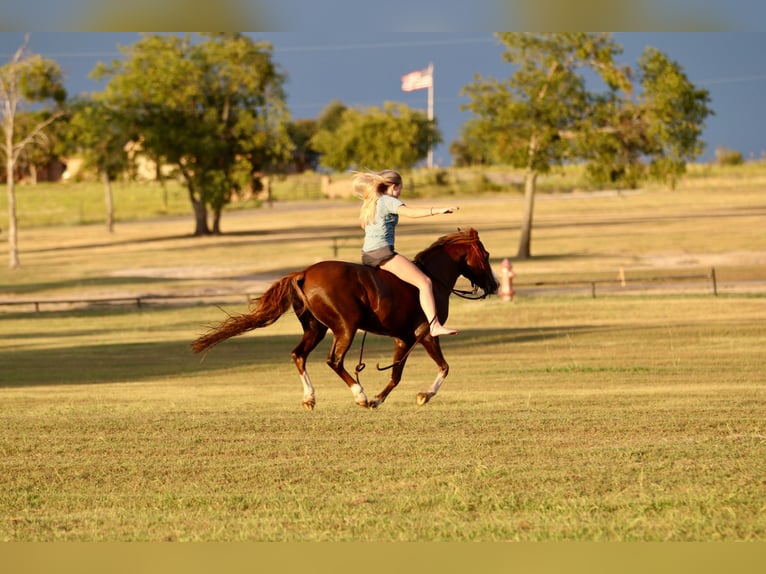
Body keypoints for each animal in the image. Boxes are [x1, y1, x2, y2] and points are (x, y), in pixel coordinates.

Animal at [192, 228, 499, 409]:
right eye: (486, 254)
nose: (494, 285)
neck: (432, 281)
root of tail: (303, 273)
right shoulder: (425, 334)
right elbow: (444, 367)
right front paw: (423, 395)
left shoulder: (402, 339)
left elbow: (396, 375)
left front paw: (378, 399)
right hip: (345, 328)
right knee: (334, 360)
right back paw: (358, 394)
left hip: (315, 329)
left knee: (298, 355)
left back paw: (311, 397)